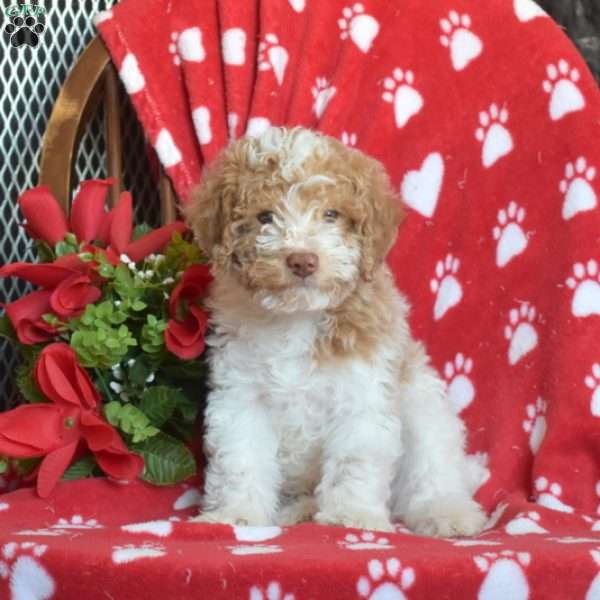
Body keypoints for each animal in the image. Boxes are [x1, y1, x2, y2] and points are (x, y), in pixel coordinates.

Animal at [186, 125, 488, 536]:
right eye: (265, 217)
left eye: (331, 214)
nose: (302, 260)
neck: (298, 315)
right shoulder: (241, 395)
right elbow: (241, 458)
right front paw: (237, 514)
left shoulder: (362, 393)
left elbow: (354, 461)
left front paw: (351, 517)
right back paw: (300, 511)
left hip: (423, 406)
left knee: (433, 468)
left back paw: (447, 512)